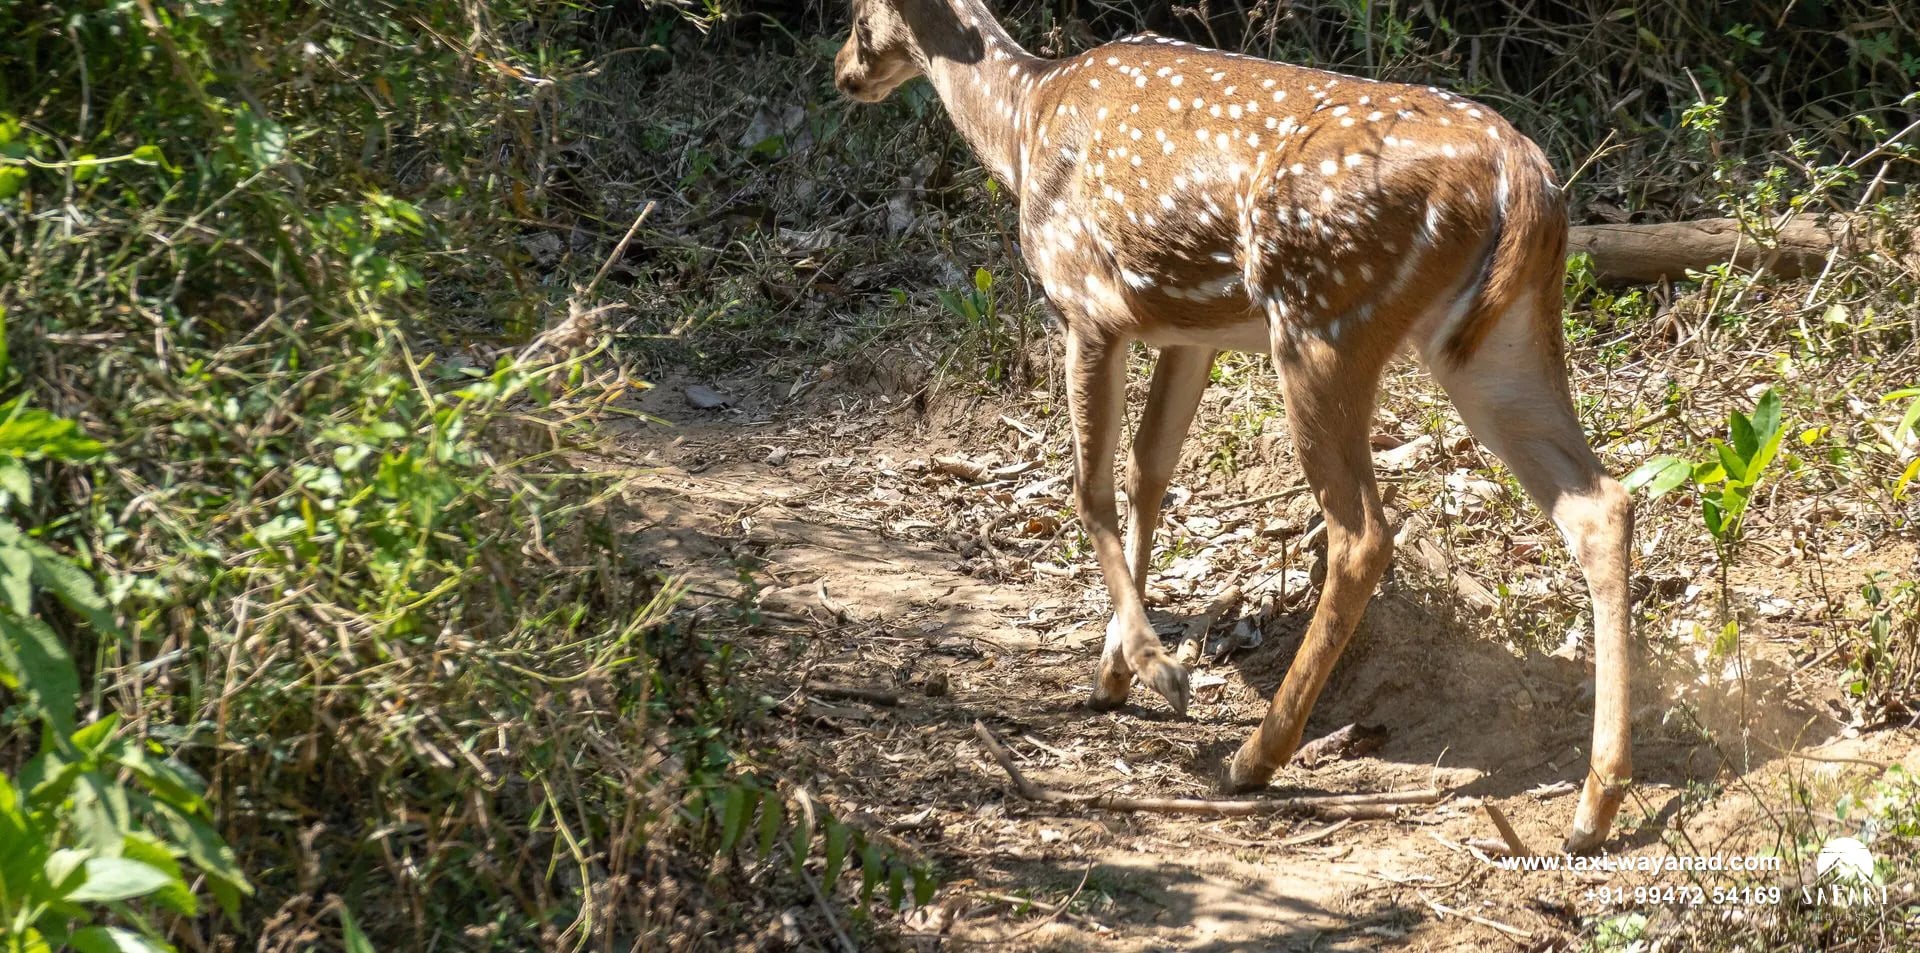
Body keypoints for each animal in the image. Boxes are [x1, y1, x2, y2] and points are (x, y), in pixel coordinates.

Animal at [833, 0, 1635, 853]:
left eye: (858, 16)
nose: (843, 73)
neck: (1026, 121)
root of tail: (1523, 174)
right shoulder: (1189, 332)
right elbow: (1149, 471)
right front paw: (1112, 674)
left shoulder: (1087, 301)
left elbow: (1090, 488)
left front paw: (1154, 667)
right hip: (1496, 344)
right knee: (1601, 504)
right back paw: (1594, 806)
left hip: (1324, 321)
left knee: (1362, 532)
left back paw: (1256, 755)